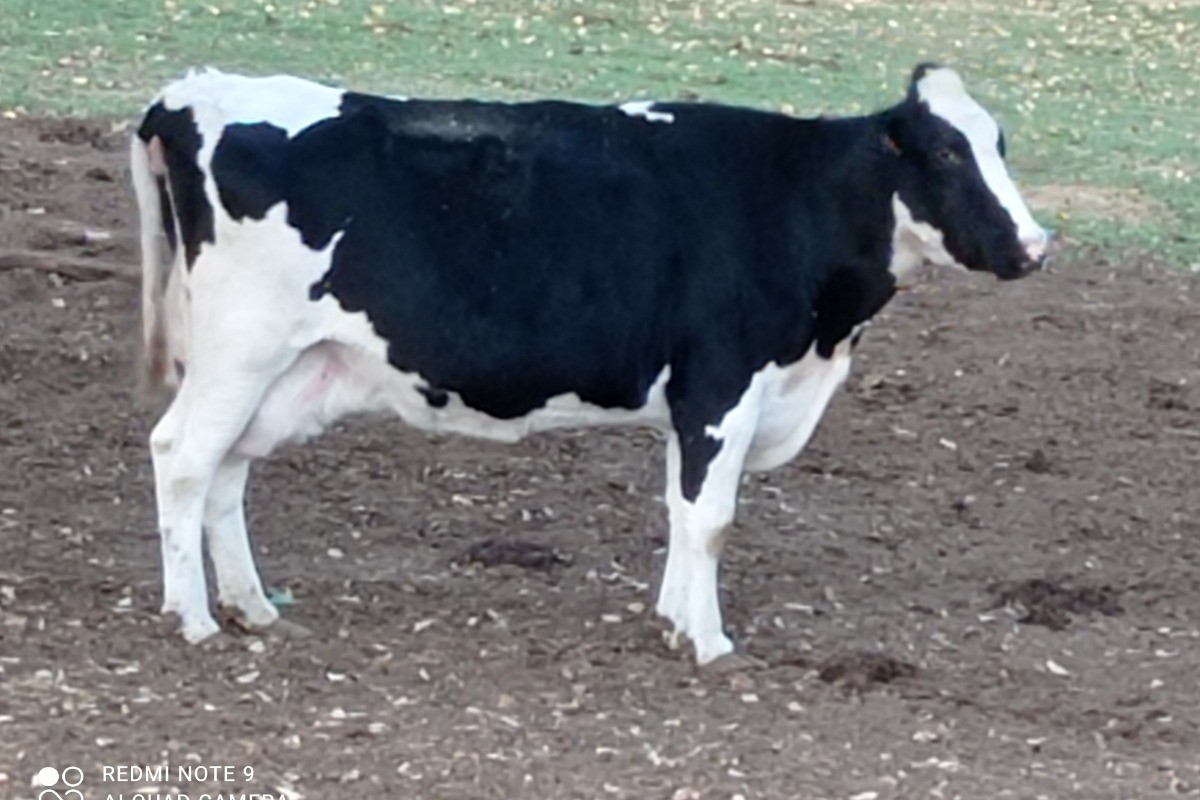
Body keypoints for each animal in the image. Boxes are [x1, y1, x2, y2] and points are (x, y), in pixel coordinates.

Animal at [131, 64, 1050, 666]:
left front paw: (674, 621)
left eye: (999, 144)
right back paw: (192, 617)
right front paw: (710, 643)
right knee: (182, 456)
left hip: (290, 367)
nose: (1037, 246)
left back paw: (251, 607)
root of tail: (191, 91)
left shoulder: (695, 399)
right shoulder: (722, 385)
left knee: (228, 467)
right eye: (946, 155)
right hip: (240, 349)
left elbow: (681, 511)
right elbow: (711, 520)